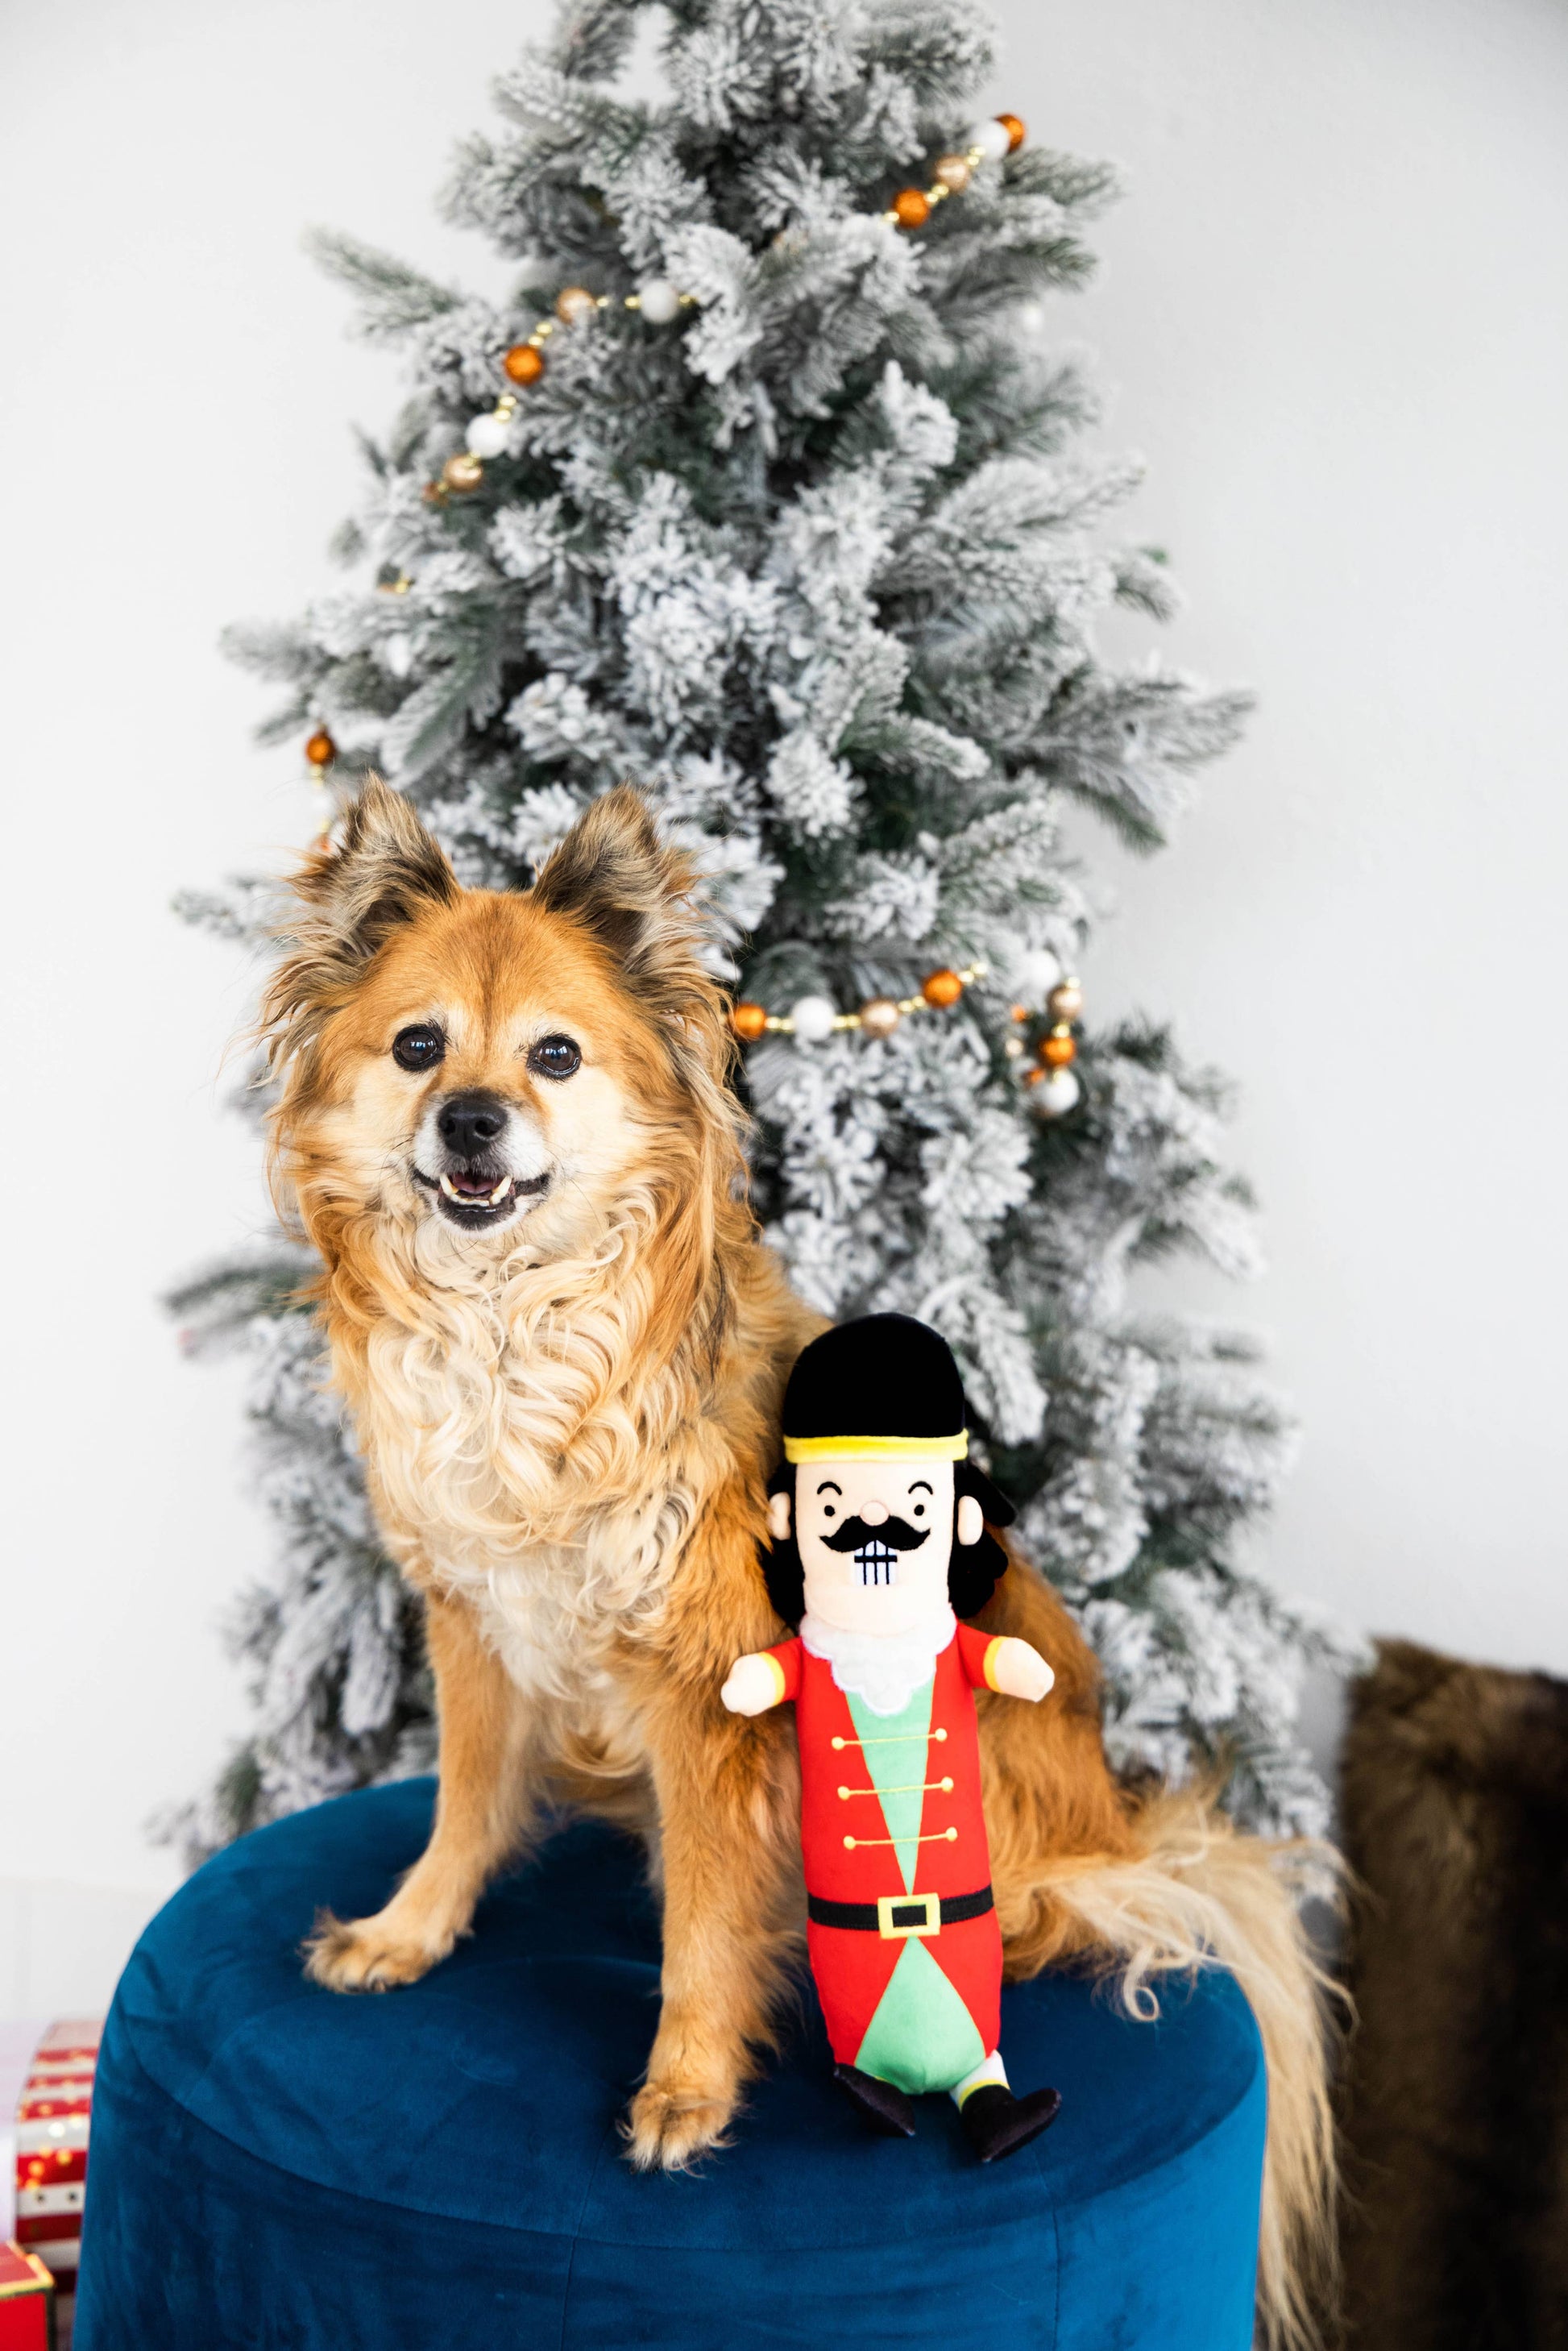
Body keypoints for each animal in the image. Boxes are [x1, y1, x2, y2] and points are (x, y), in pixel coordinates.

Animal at [267, 780, 1335, 2341]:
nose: (470, 1116)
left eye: (553, 1055)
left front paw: (687, 2083)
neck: (512, 1329)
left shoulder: (709, 1691)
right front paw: (414, 1931)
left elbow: (706, 1920)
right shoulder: (472, 1619)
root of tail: (1114, 1827)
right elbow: (463, 1805)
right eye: (417, 1047)